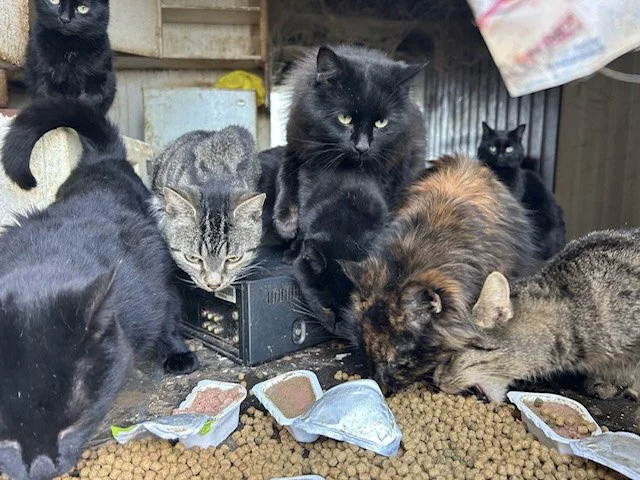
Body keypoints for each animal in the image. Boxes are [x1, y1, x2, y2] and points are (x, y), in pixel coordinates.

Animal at [0, 98, 198, 480]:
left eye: (71, 425)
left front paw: (178, 354)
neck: (49, 262)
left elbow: (168, 318)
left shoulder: (154, 278)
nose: (41, 470)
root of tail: (101, 160)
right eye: (6, 436)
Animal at [273, 45, 426, 240]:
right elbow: (285, 176)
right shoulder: (297, 145)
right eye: (345, 118)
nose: (362, 147)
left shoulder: (395, 165)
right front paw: (285, 223)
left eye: (381, 122)